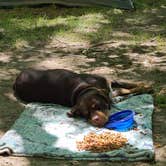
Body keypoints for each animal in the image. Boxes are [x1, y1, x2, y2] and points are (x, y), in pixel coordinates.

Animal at [13, 68, 152, 127]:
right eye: (85, 114)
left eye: (97, 106)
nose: (96, 120)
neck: (86, 87)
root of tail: (15, 81)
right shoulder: (113, 95)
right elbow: (126, 91)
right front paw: (145, 88)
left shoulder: (110, 82)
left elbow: (127, 85)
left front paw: (146, 86)